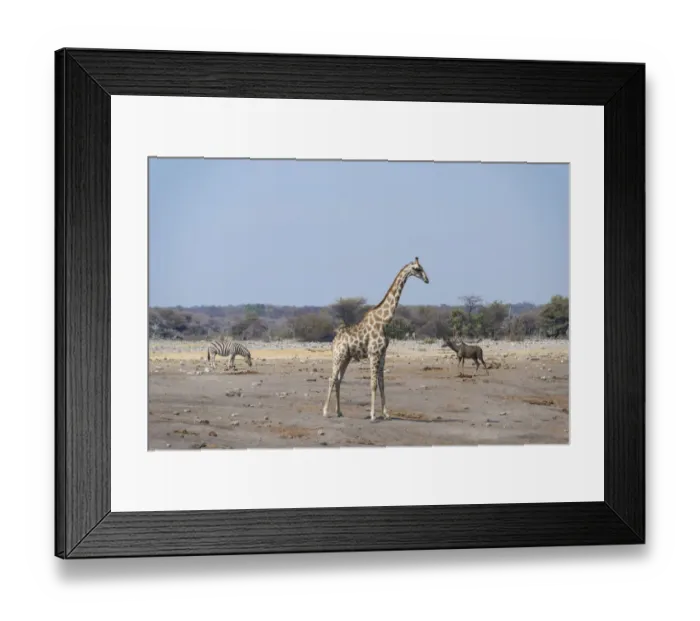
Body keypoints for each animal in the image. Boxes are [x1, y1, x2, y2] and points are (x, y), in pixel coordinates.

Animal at [322, 257, 430, 421]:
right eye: (417, 269)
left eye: (422, 268)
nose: (427, 279)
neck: (384, 321)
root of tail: (334, 341)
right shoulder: (373, 353)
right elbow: (373, 384)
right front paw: (373, 414)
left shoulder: (383, 354)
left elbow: (382, 384)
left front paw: (386, 414)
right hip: (338, 355)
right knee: (331, 379)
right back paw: (326, 411)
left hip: (346, 357)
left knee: (339, 380)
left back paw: (339, 412)